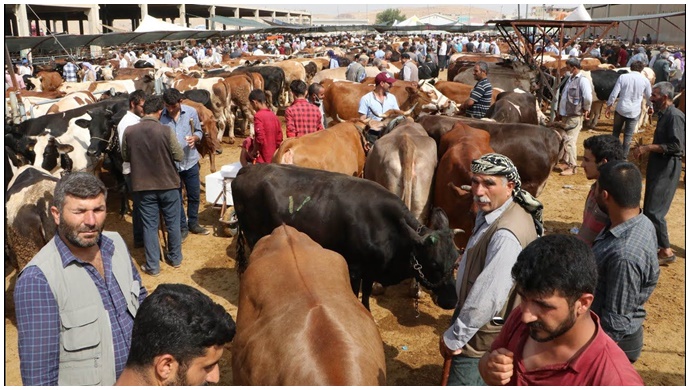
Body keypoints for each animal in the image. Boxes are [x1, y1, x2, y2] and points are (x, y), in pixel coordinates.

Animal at [230, 164, 456, 310]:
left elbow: (366, 295)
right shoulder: (355, 268)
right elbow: (356, 294)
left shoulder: (371, 270)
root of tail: (246, 169)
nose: (452, 301)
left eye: (455, 262)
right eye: (434, 264)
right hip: (254, 235)